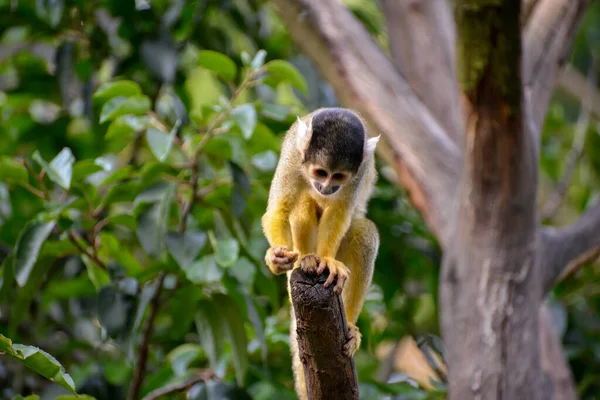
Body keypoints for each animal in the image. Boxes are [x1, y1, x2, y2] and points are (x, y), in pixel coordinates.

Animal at [258, 107, 380, 400]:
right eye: (321, 172)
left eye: (338, 177)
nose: (326, 187)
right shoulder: (292, 155)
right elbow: (277, 210)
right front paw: (276, 257)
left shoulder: (358, 172)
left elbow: (339, 212)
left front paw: (326, 260)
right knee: (303, 199)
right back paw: (305, 259)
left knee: (365, 233)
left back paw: (350, 328)